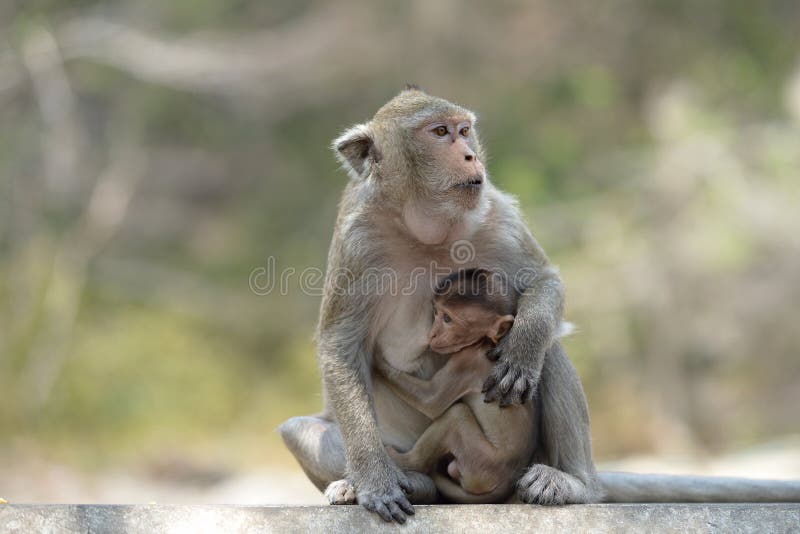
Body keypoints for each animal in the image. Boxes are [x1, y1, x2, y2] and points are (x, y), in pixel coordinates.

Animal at [376, 270, 536, 504]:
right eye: (436, 313)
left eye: (448, 319)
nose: (432, 334)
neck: (484, 342)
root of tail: (507, 482)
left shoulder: (467, 362)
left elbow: (432, 401)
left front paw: (375, 359)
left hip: (480, 464)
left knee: (456, 415)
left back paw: (404, 461)